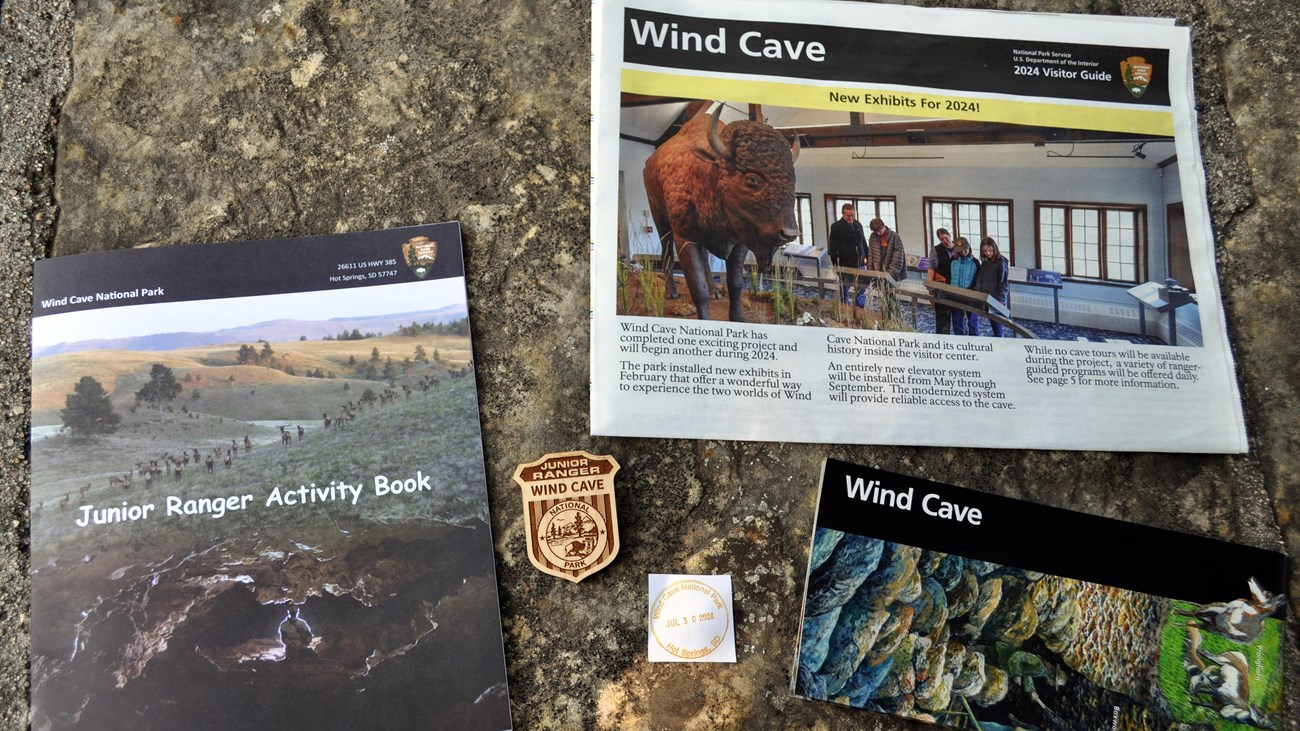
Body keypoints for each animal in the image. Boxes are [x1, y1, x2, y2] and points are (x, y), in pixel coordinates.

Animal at [642, 104, 795, 319]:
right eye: (752, 178)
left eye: (793, 179)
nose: (789, 233)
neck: (709, 173)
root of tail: (649, 163)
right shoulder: (686, 239)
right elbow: (698, 290)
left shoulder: (739, 243)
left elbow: (735, 284)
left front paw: (737, 318)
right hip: (660, 219)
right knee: (666, 252)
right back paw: (671, 292)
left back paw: (715, 291)